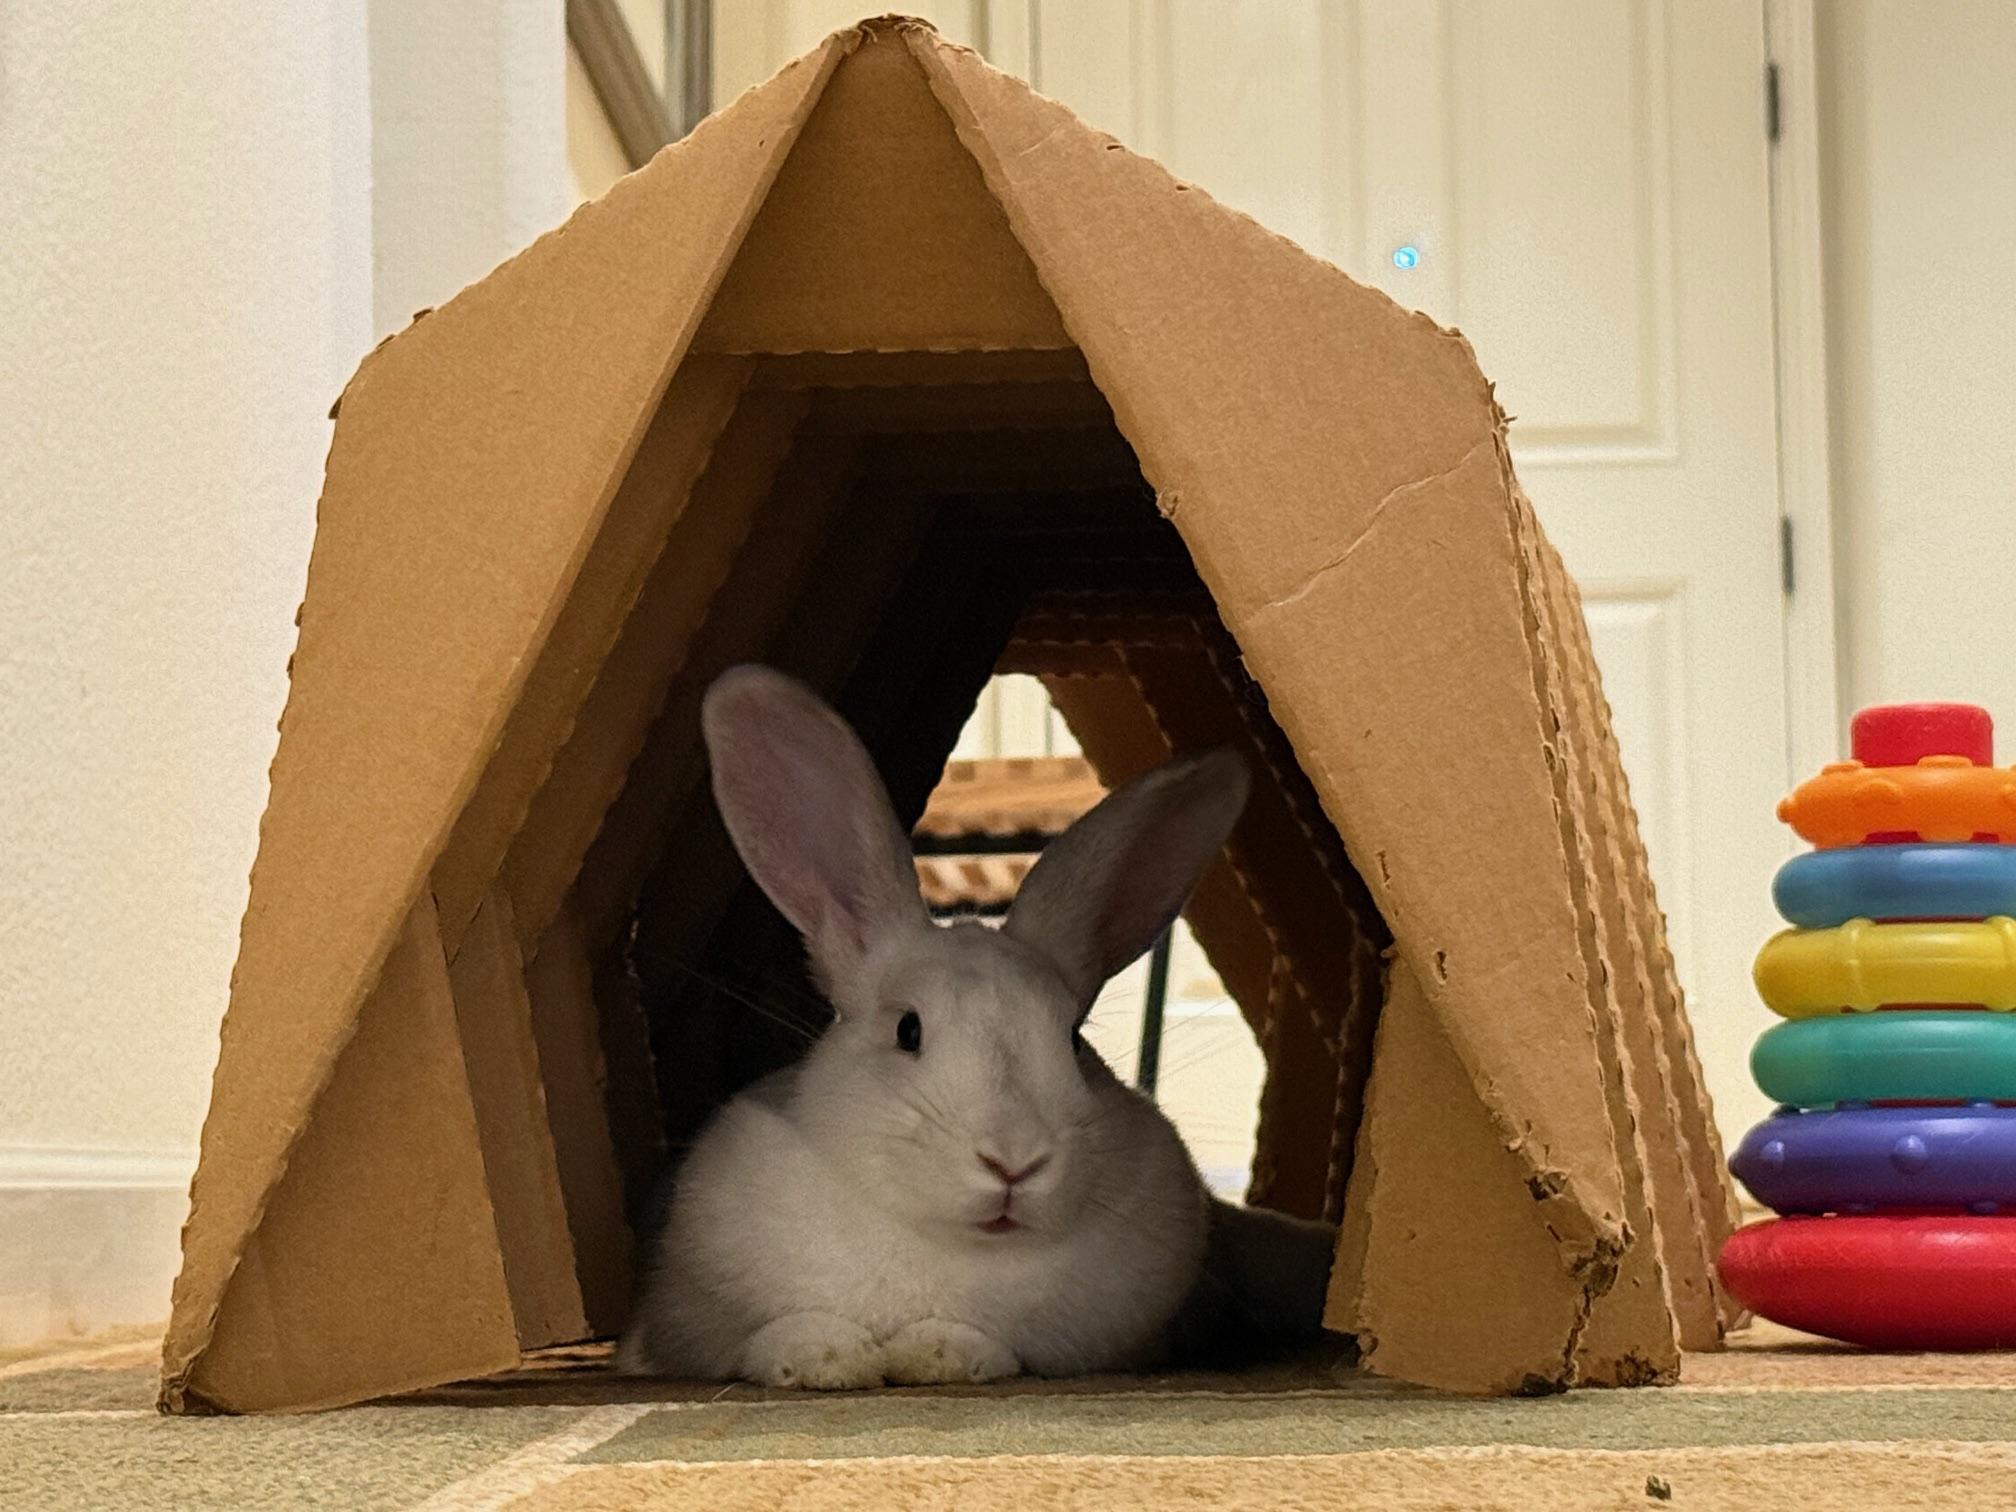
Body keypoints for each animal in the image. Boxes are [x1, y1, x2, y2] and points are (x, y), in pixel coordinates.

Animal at [616, 663, 1338, 1387]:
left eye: (1073, 1040)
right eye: (908, 1030)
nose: (1014, 1162)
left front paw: (937, 1353)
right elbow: (758, 1340)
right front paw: (825, 1358)